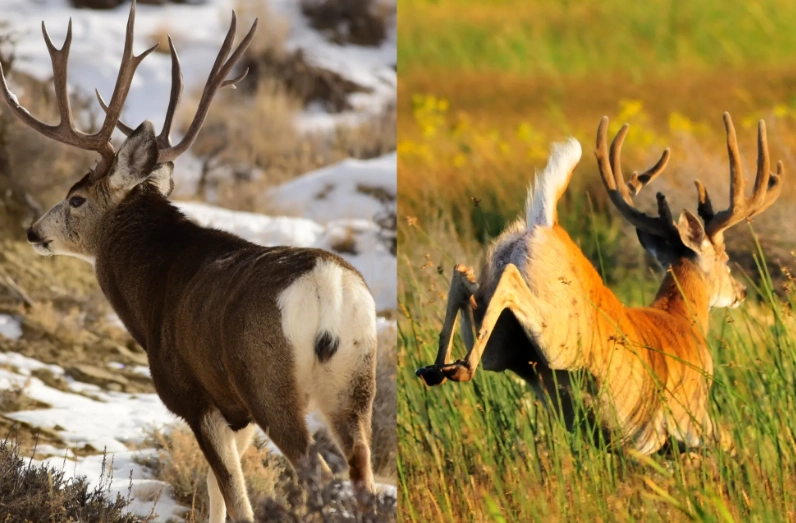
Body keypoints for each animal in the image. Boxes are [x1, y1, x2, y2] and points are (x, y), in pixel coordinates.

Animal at [0, 2, 378, 521]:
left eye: (76, 198)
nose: (34, 231)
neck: (150, 292)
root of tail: (331, 289)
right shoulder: (235, 411)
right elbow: (219, 493)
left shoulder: (194, 396)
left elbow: (235, 498)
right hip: (355, 385)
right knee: (365, 479)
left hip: (270, 383)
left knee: (316, 473)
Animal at [416, 113, 783, 454]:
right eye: (724, 258)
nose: (741, 292)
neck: (682, 319)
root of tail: (544, 224)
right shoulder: (691, 420)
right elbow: (729, 445)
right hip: (560, 336)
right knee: (510, 282)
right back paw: (457, 367)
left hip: (503, 349)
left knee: (464, 278)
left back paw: (438, 367)